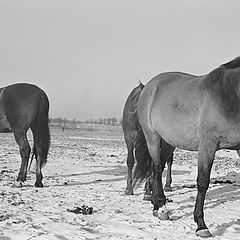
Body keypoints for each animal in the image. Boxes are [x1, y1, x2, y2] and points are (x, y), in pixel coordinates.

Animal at [133, 56, 240, 238]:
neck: (230, 93)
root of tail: (149, 86)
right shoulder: (207, 145)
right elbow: (203, 182)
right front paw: (201, 225)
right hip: (152, 137)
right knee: (157, 168)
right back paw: (162, 209)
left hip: (168, 142)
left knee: (158, 167)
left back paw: (156, 206)